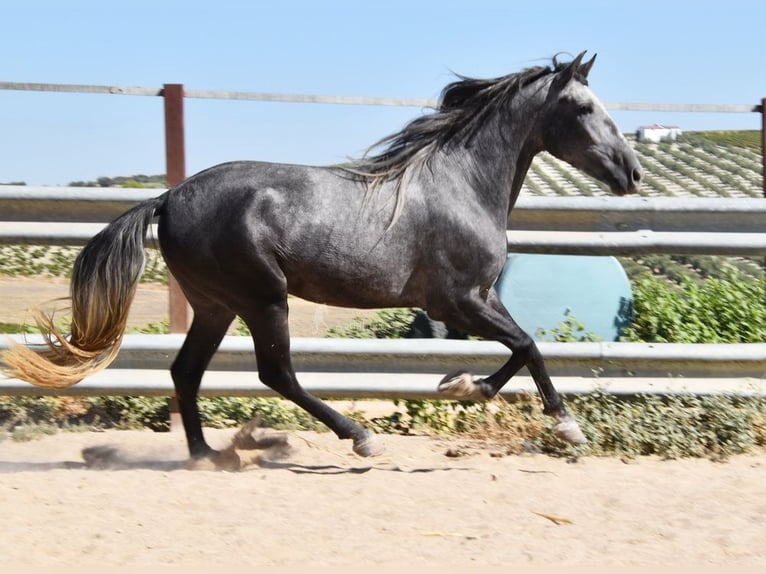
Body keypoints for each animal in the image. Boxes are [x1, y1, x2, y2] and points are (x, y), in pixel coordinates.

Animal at [3, 49, 640, 464]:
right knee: (275, 372)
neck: (461, 184)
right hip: (263, 297)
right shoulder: (458, 300)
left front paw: (464, 385)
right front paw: (564, 426)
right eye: (584, 107)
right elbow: (528, 344)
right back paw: (357, 436)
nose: (631, 173)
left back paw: (208, 454)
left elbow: (520, 346)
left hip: (215, 304)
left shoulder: (472, 300)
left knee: (186, 370)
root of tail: (168, 198)